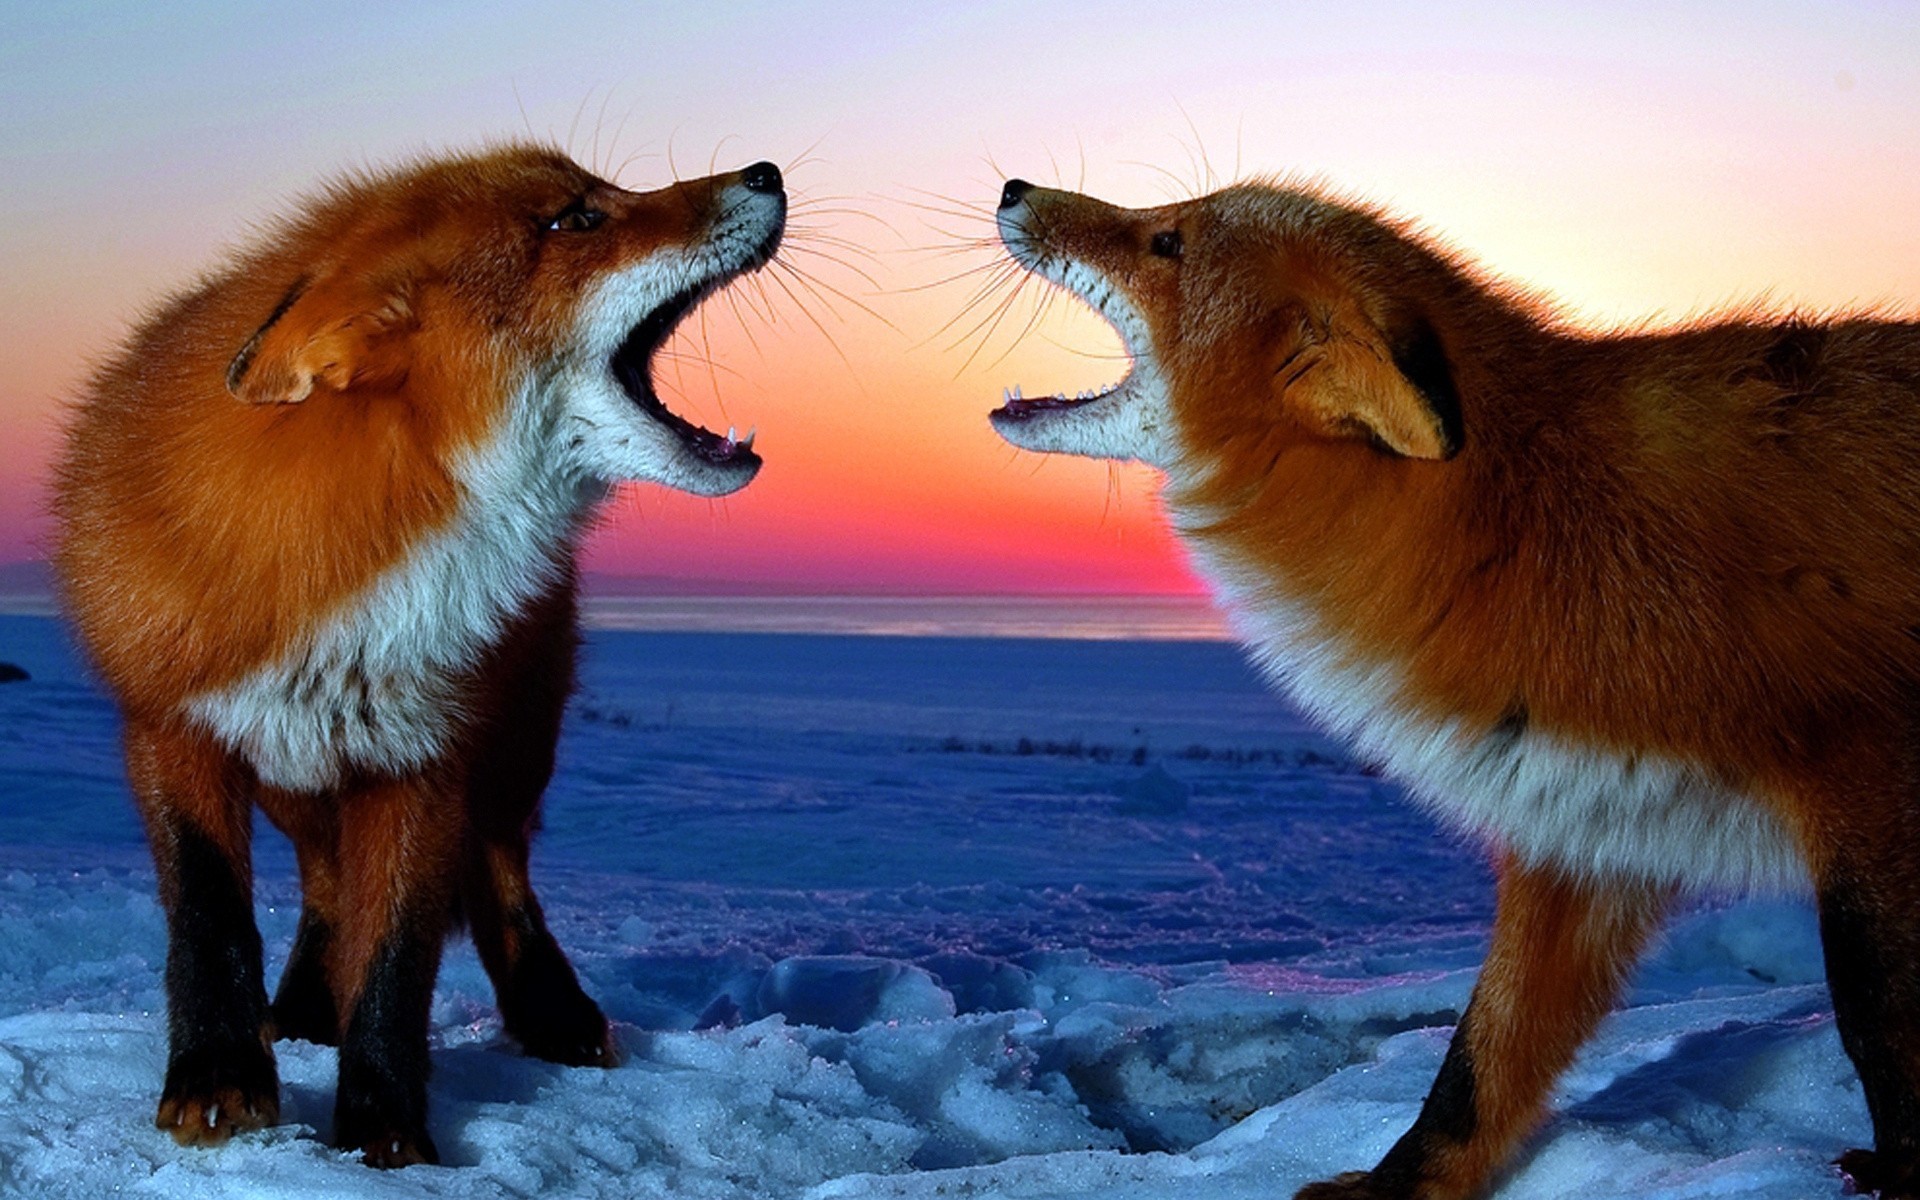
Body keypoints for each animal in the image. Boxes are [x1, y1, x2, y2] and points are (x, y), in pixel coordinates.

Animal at [51, 144, 784, 1167]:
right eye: (575, 219)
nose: (767, 171)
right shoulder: (171, 728)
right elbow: (209, 918)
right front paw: (218, 1079)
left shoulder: (425, 753)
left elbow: (397, 958)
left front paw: (383, 1132)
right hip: (298, 772)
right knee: (326, 885)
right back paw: (304, 1011)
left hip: (513, 749)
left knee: (501, 873)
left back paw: (552, 1013)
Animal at [987, 176, 1920, 1198]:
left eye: (1168, 241)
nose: (1013, 189)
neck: (1531, 534)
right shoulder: (1586, 826)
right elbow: (1479, 1063)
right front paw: (1394, 1188)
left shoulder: (1869, 779)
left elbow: (1879, 1021)